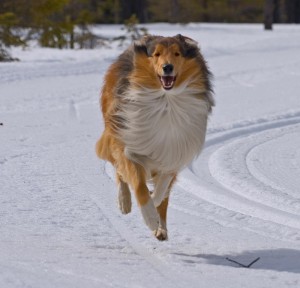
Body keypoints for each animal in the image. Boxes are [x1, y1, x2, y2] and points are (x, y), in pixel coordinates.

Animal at [96, 33, 213, 241]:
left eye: (177, 53)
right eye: (156, 54)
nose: (168, 67)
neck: (165, 102)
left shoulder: (174, 152)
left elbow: (161, 191)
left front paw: (156, 213)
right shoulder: (129, 144)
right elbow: (138, 186)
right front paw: (150, 217)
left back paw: (161, 229)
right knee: (119, 171)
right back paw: (125, 202)